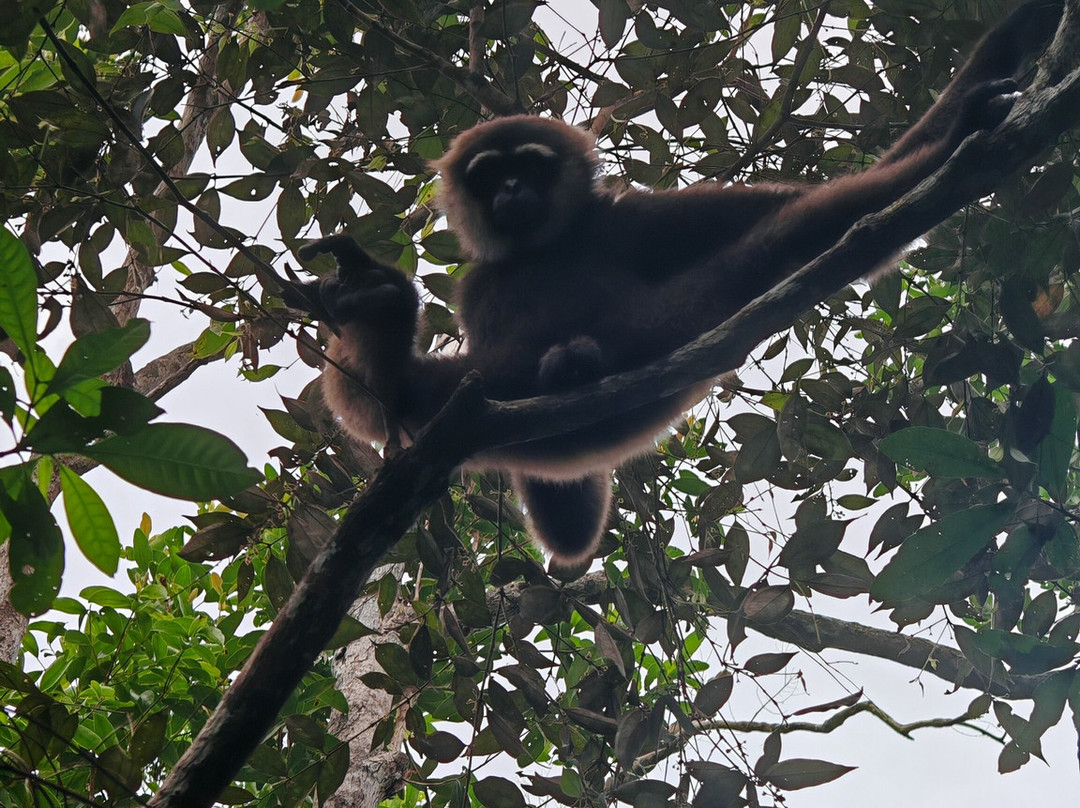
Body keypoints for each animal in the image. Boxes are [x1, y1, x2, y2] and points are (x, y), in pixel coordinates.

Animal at [288, 1, 1064, 562]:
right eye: (490, 175)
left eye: (529, 166)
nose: (510, 189)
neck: (548, 247)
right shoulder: (477, 289)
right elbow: (568, 531)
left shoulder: (633, 219)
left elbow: (801, 201)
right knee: (414, 393)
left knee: (818, 222)